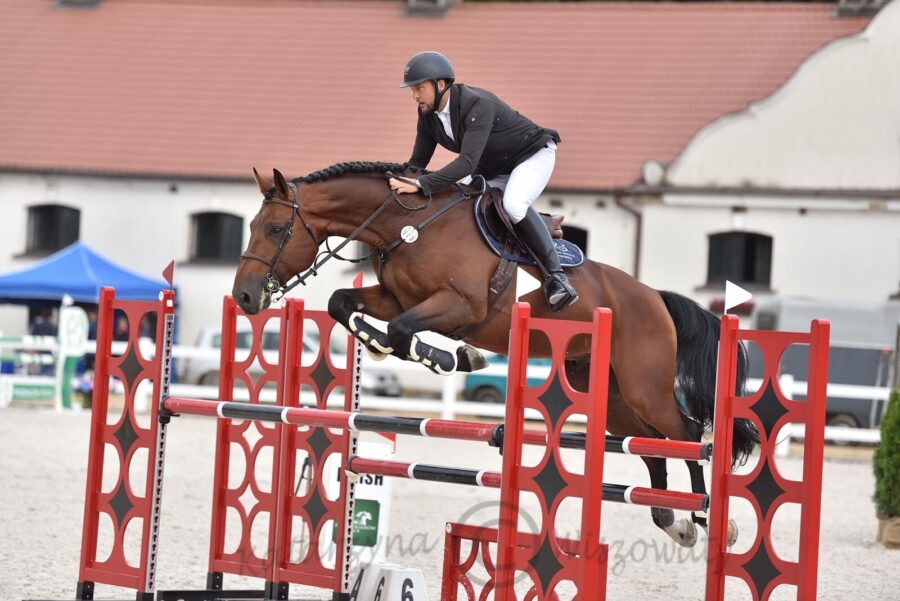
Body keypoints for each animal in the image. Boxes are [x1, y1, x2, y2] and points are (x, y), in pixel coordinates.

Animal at [232, 162, 760, 548]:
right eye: (251, 225)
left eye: (276, 229)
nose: (244, 297)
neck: (407, 225)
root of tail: (654, 296)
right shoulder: (395, 297)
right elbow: (344, 304)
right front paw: (382, 346)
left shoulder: (458, 306)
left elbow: (405, 332)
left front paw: (454, 359)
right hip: (608, 394)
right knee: (651, 446)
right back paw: (673, 521)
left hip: (644, 386)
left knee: (687, 435)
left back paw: (709, 520)